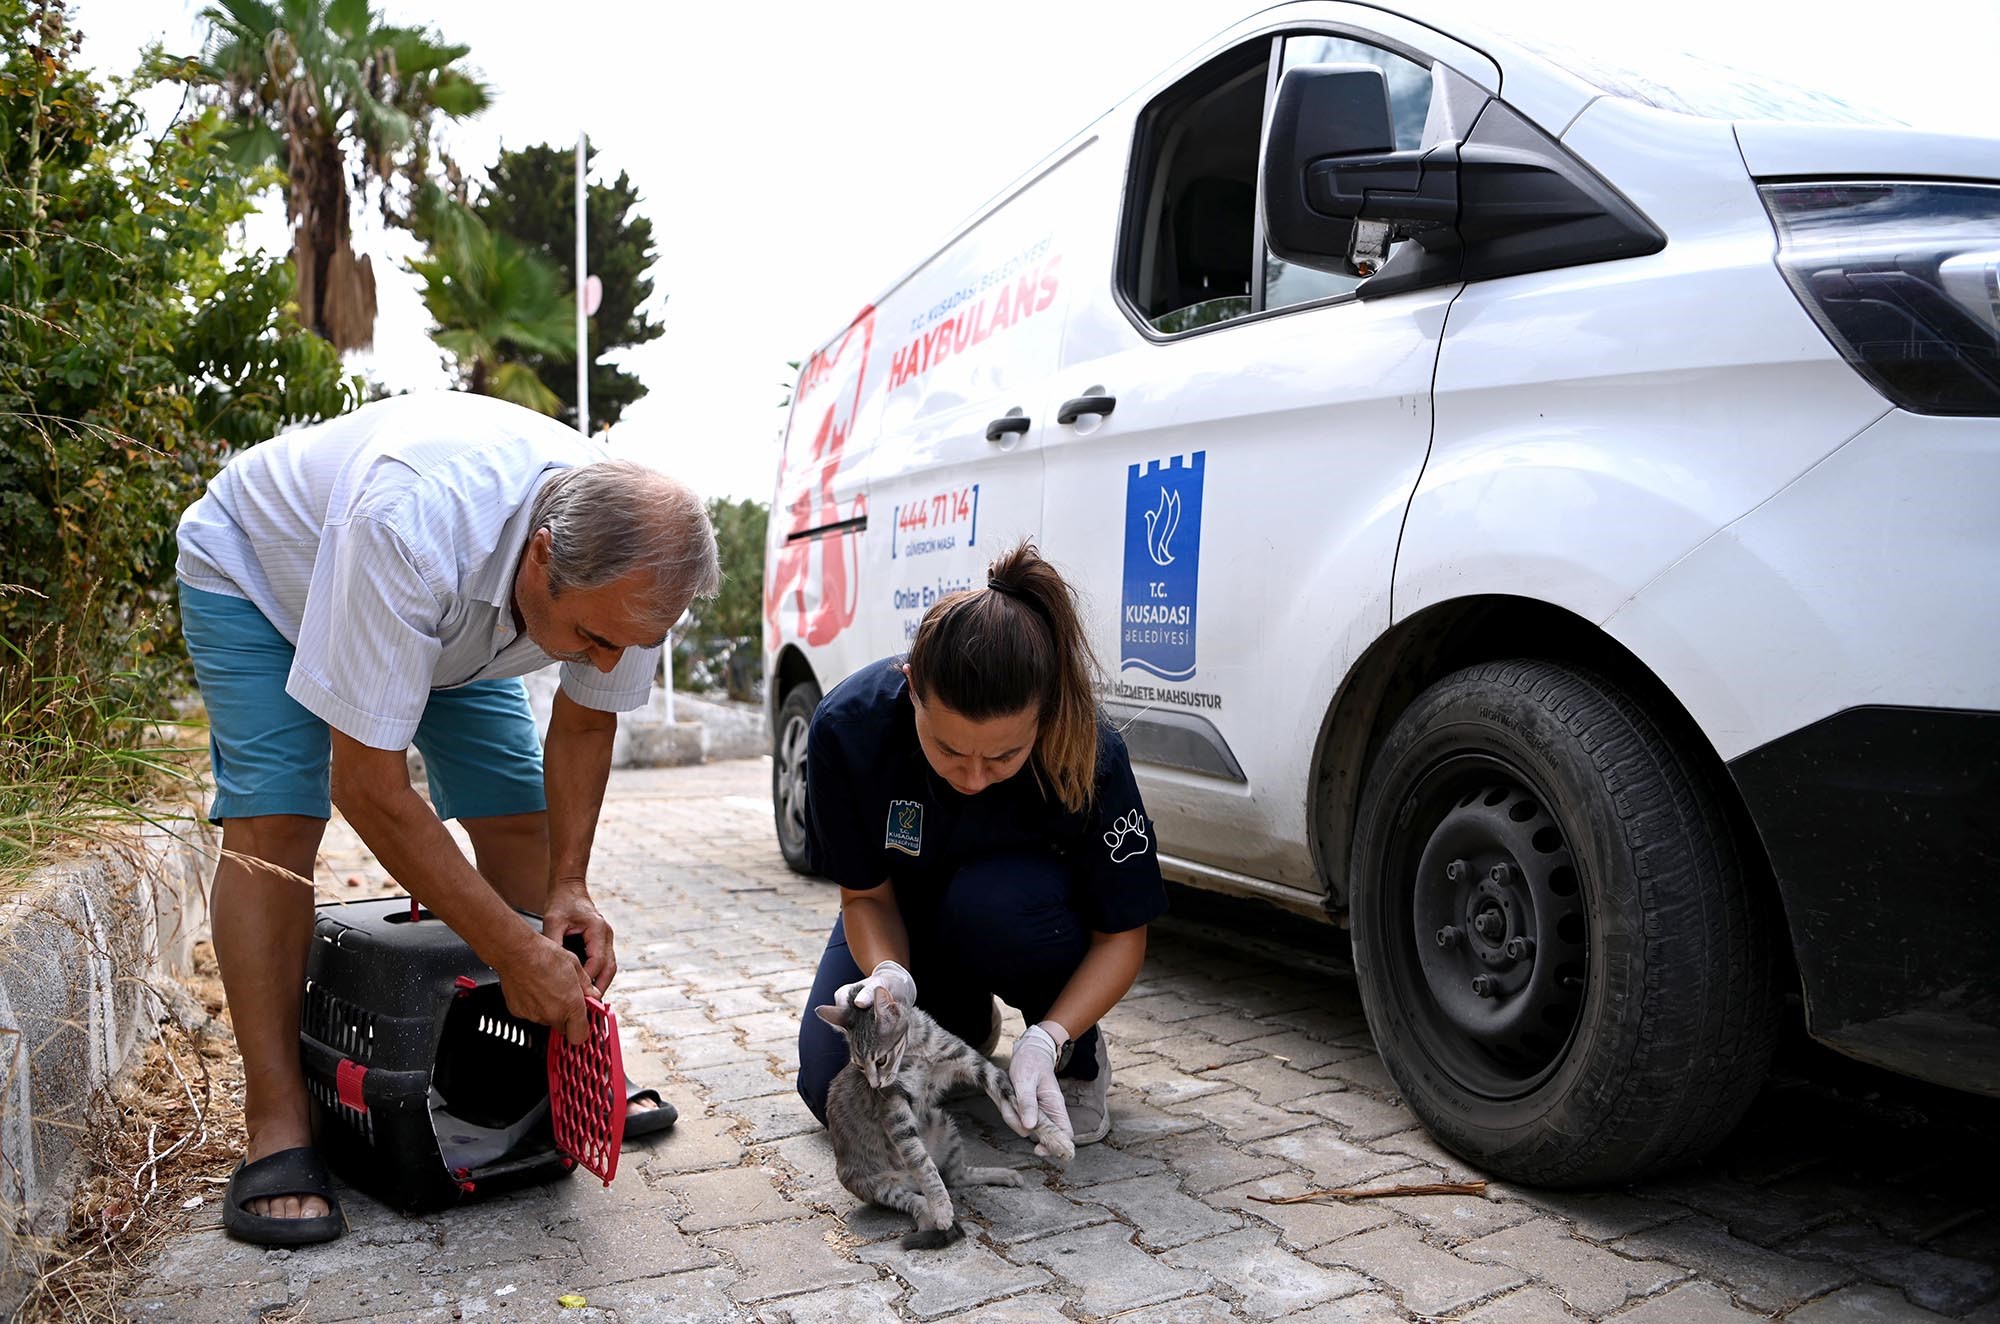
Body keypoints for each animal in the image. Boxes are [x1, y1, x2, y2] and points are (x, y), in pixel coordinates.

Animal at [816, 992, 1080, 1248]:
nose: (874, 1084)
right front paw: (941, 1206)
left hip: (941, 1122)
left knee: (957, 1176)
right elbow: (922, 1162)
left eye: (880, 1060)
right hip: (879, 1186)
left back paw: (1003, 1175)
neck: (919, 1051)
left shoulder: (976, 1065)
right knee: (920, 1196)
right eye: (859, 1066)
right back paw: (933, 1212)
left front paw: (1057, 1138)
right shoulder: (895, 1108)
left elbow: (1017, 1098)